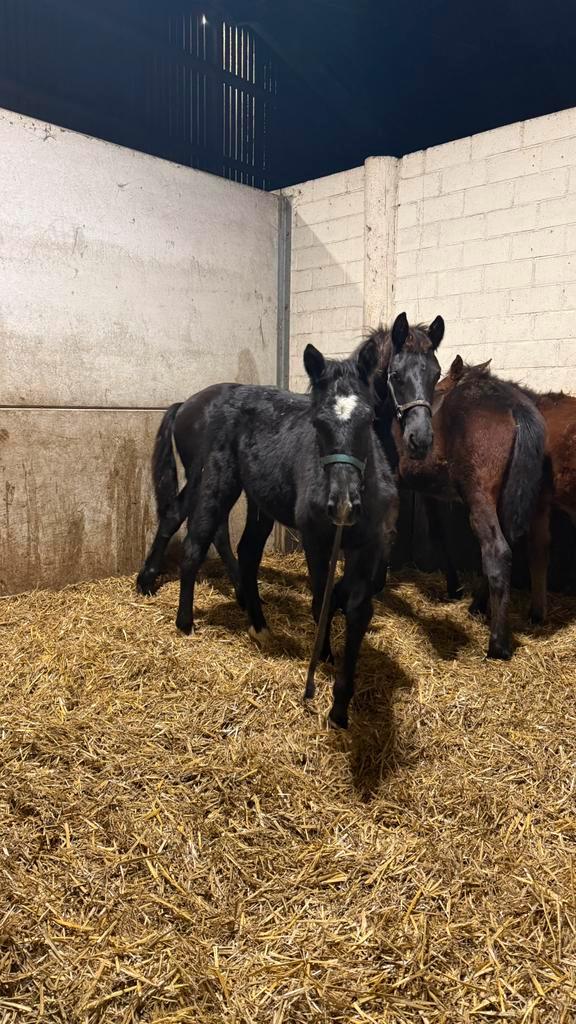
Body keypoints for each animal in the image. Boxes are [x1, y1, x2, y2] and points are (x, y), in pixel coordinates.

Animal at [395, 355, 546, 659]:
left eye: (441, 384)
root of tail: (515, 408)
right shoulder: (427, 492)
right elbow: (438, 532)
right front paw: (454, 587)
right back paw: (477, 605)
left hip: (479, 498)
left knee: (497, 551)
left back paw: (497, 644)